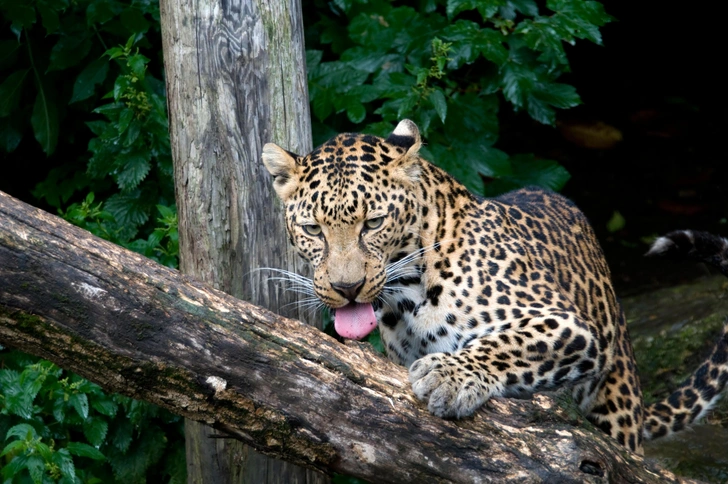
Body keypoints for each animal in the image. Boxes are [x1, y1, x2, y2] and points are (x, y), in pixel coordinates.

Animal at [262, 119, 728, 456]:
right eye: (312, 229)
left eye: (373, 223)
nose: (348, 287)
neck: (406, 296)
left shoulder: (570, 326)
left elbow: (506, 345)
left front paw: (448, 376)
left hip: (616, 401)